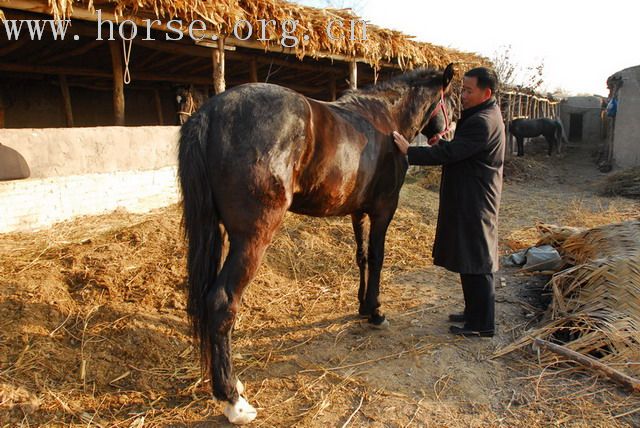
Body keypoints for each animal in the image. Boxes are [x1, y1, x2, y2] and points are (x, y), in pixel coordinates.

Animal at [178, 63, 452, 424]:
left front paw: (362, 306)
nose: (448, 135)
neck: (385, 119)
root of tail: (208, 113)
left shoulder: (358, 212)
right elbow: (378, 257)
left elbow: (362, 257)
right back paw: (232, 400)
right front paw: (376, 311)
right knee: (222, 302)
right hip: (251, 240)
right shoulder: (383, 210)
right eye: (453, 100)